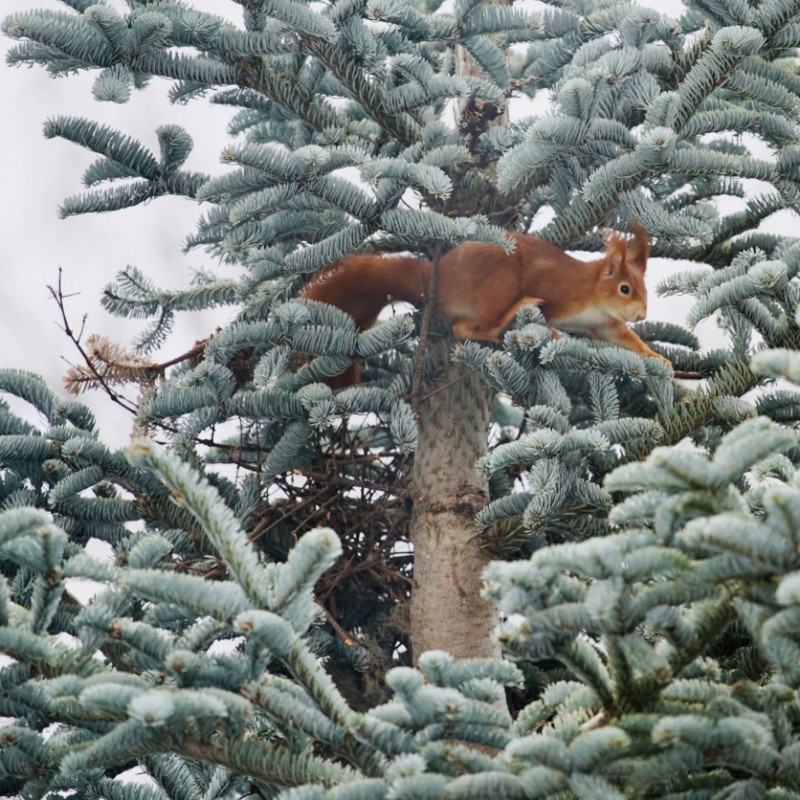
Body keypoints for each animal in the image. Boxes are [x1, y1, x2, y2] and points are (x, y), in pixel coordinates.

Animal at [300, 223, 668, 386]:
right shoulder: (557, 292)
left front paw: (657, 358)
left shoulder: (601, 322)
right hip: (500, 283)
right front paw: (554, 335)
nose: (642, 314)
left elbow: (625, 338)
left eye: (644, 288)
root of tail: (438, 277)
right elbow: (545, 319)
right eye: (624, 288)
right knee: (464, 326)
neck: (590, 292)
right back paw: (501, 326)